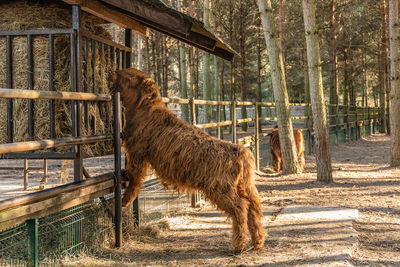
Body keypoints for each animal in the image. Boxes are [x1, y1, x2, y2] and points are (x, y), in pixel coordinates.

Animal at [109, 68, 266, 252]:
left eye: (130, 77)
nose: (113, 72)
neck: (144, 110)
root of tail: (242, 151)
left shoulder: (137, 152)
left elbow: (135, 179)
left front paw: (124, 200)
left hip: (221, 188)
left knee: (240, 207)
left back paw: (239, 244)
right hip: (244, 186)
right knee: (254, 208)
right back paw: (257, 242)